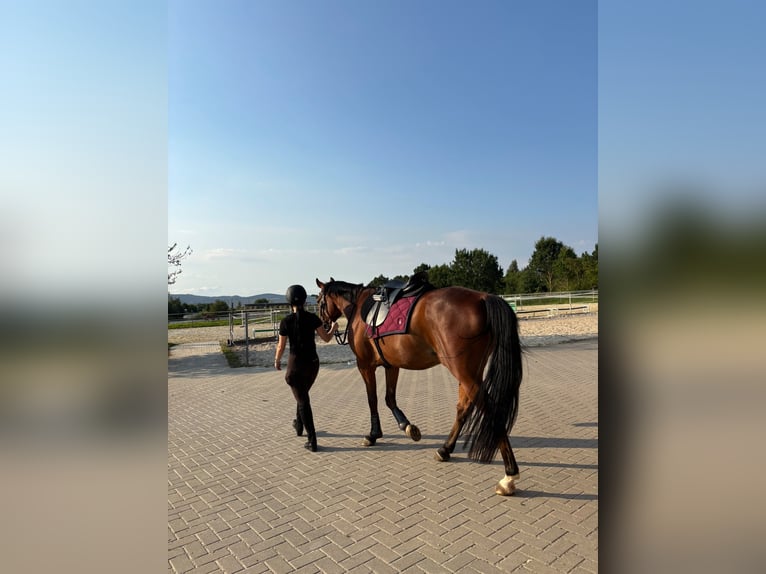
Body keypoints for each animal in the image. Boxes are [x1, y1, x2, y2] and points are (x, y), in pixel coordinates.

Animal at [315, 277, 523, 496]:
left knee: (490, 410)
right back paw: (444, 449)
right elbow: (389, 398)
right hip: (470, 372)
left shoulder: (365, 365)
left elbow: (373, 399)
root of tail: (483, 297)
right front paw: (408, 427)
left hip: (463, 371)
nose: (324, 325)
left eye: (319, 300)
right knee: (464, 408)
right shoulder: (391, 365)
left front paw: (373, 435)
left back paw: (509, 475)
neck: (359, 306)